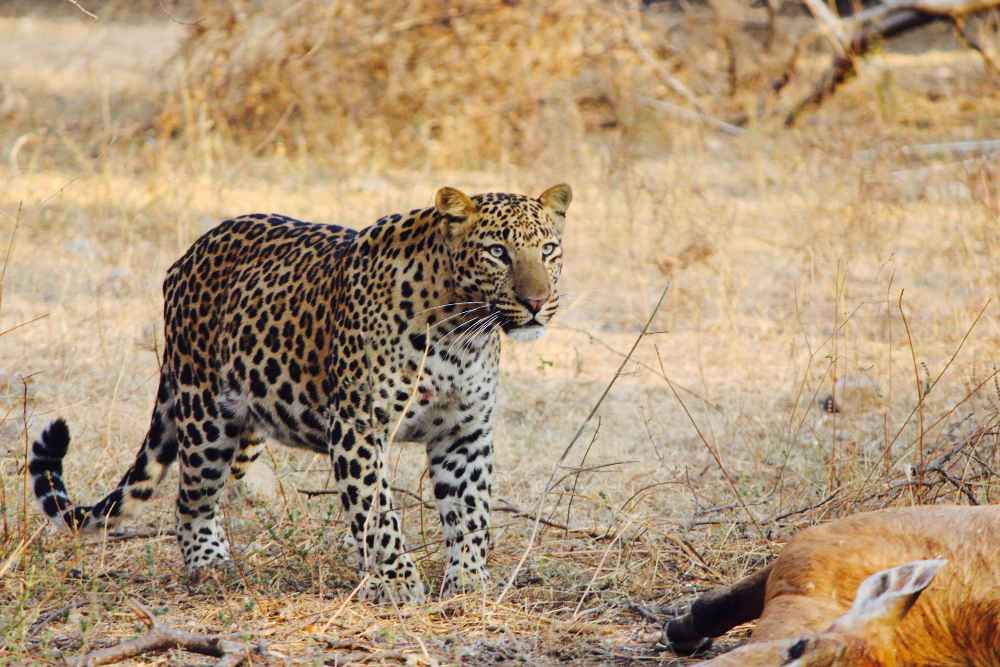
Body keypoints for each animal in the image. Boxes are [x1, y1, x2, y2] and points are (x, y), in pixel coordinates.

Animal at [29, 183, 572, 603]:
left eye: (547, 249)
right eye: (497, 252)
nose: (537, 302)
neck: (461, 331)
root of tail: (184, 258)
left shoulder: (464, 432)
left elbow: (470, 511)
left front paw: (470, 582)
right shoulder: (358, 427)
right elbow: (378, 510)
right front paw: (397, 583)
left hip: (249, 425)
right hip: (205, 418)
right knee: (190, 499)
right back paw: (210, 565)